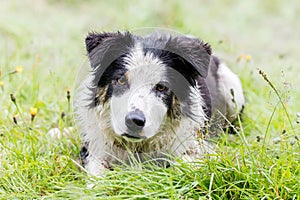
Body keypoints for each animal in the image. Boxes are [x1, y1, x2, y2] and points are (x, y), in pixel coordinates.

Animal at [74, 30, 245, 175]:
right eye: (121, 80)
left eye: (162, 87)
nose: (134, 121)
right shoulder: (93, 148)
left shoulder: (198, 146)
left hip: (232, 90)